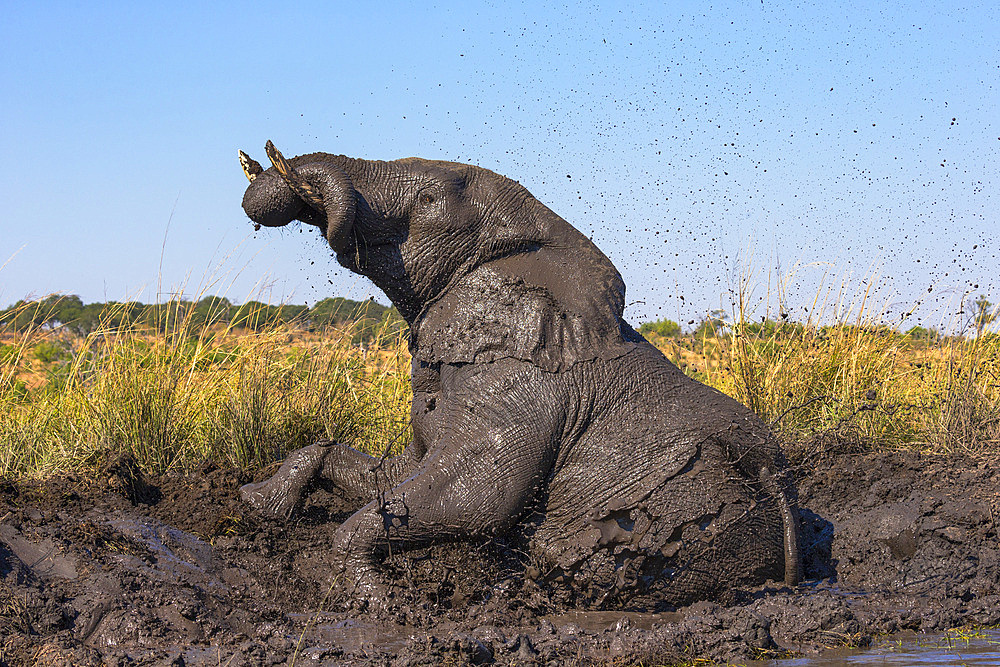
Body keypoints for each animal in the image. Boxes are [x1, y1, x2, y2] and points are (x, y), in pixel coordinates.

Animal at [238, 142, 800, 612]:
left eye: (426, 199)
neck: (541, 235)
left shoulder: (524, 387)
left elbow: (480, 498)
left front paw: (382, 603)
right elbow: (395, 475)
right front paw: (257, 504)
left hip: (706, 526)